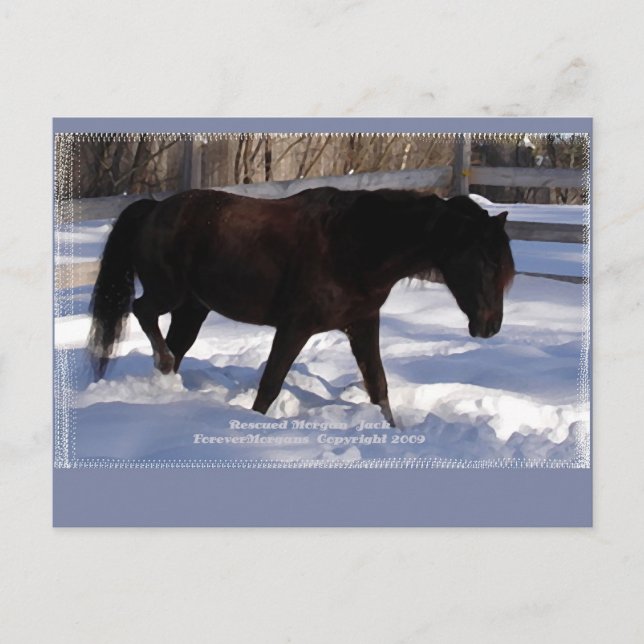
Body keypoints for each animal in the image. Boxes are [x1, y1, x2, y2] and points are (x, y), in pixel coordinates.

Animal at [88, 187, 515, 426]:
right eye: (486, 262)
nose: (491, 326)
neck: (357, 244)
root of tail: (154, 208)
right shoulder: (295, 327)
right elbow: (270, 386)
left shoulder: (363, 324)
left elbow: (378, 385)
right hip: (171, 294)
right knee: (143, 312)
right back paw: (160, 364)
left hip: (193, 309)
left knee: (175, 348)